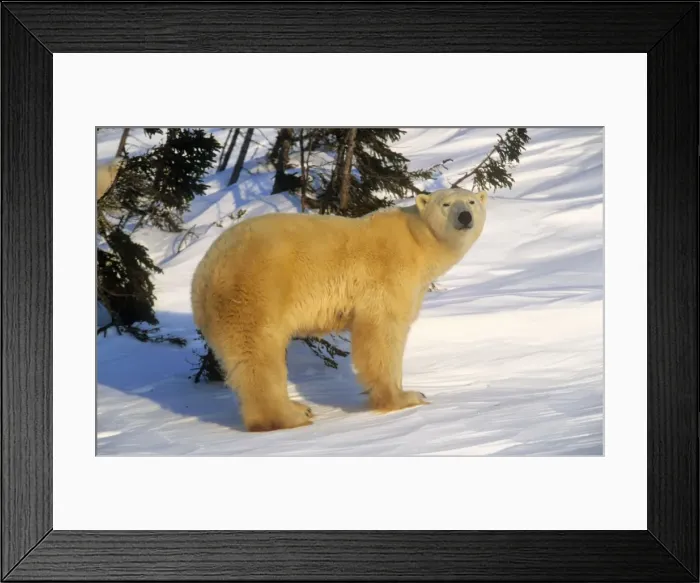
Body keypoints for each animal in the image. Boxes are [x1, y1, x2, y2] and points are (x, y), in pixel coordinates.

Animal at [190, 187, 488, 432]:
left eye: (471, 201)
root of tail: (204, 273)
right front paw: (406, 397)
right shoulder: (388, 275)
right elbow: (382, 332)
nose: (465, 216)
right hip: (256, 291)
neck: (417, 241)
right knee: (258, 353)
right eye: (446, 204)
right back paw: (289, 416)